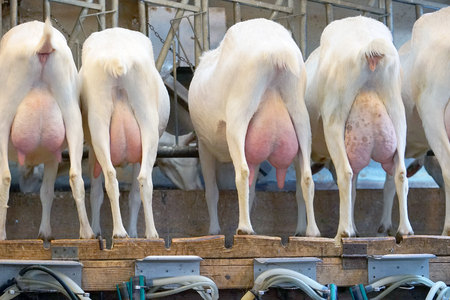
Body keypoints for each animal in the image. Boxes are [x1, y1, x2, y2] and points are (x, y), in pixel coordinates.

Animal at [0, 19, 93, 241]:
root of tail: (42, 45)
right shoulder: (52, 155)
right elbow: (47, 192)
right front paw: (45, 234)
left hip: (5, 111)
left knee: (5, 177)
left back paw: (2, 235)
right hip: (71, 112)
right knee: (76, 176)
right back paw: (87, 233)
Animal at [80, 28, 170, 239]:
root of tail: (117, 57)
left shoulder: (92, 150)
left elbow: (96, 192)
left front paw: (98, 230)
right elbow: (134, 195)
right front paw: (134, 232)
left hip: (99, 119)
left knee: (110, 176)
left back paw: (120, 232)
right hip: (147, 117)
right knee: (144, 179)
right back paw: (151, 233)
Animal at [188, 18, 318, 238]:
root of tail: (278, 53)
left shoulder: (204, 146)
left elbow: (212, 191)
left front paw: (214, 230)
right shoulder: (254, 151)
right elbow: (253, 190)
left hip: (239, 114)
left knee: (241, 172)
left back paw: (245, 228)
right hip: (300, 115)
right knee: (307, 176)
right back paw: (312, 231)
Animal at [304, 15, 414, 241]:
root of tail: (368, 46)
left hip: (334, 117)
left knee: (345, 173)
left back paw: (342, 232)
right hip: (397, 114)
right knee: (400, 173)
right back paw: (404, 230)